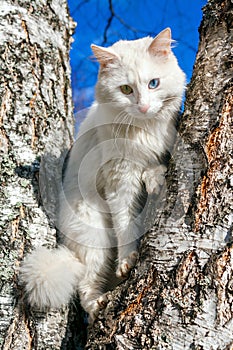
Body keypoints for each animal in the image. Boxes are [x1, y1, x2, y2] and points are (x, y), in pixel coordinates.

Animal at [20, 28, 187, 322]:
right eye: (126, 90)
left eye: (153, 84)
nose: (143, 107)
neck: (144, 129)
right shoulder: (120, 179)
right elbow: (126, 226)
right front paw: (127, 260)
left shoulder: (161, 153)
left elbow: (155, 167)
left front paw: (155, 179)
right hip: (96, 237)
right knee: (85, 285)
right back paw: (97, 303)